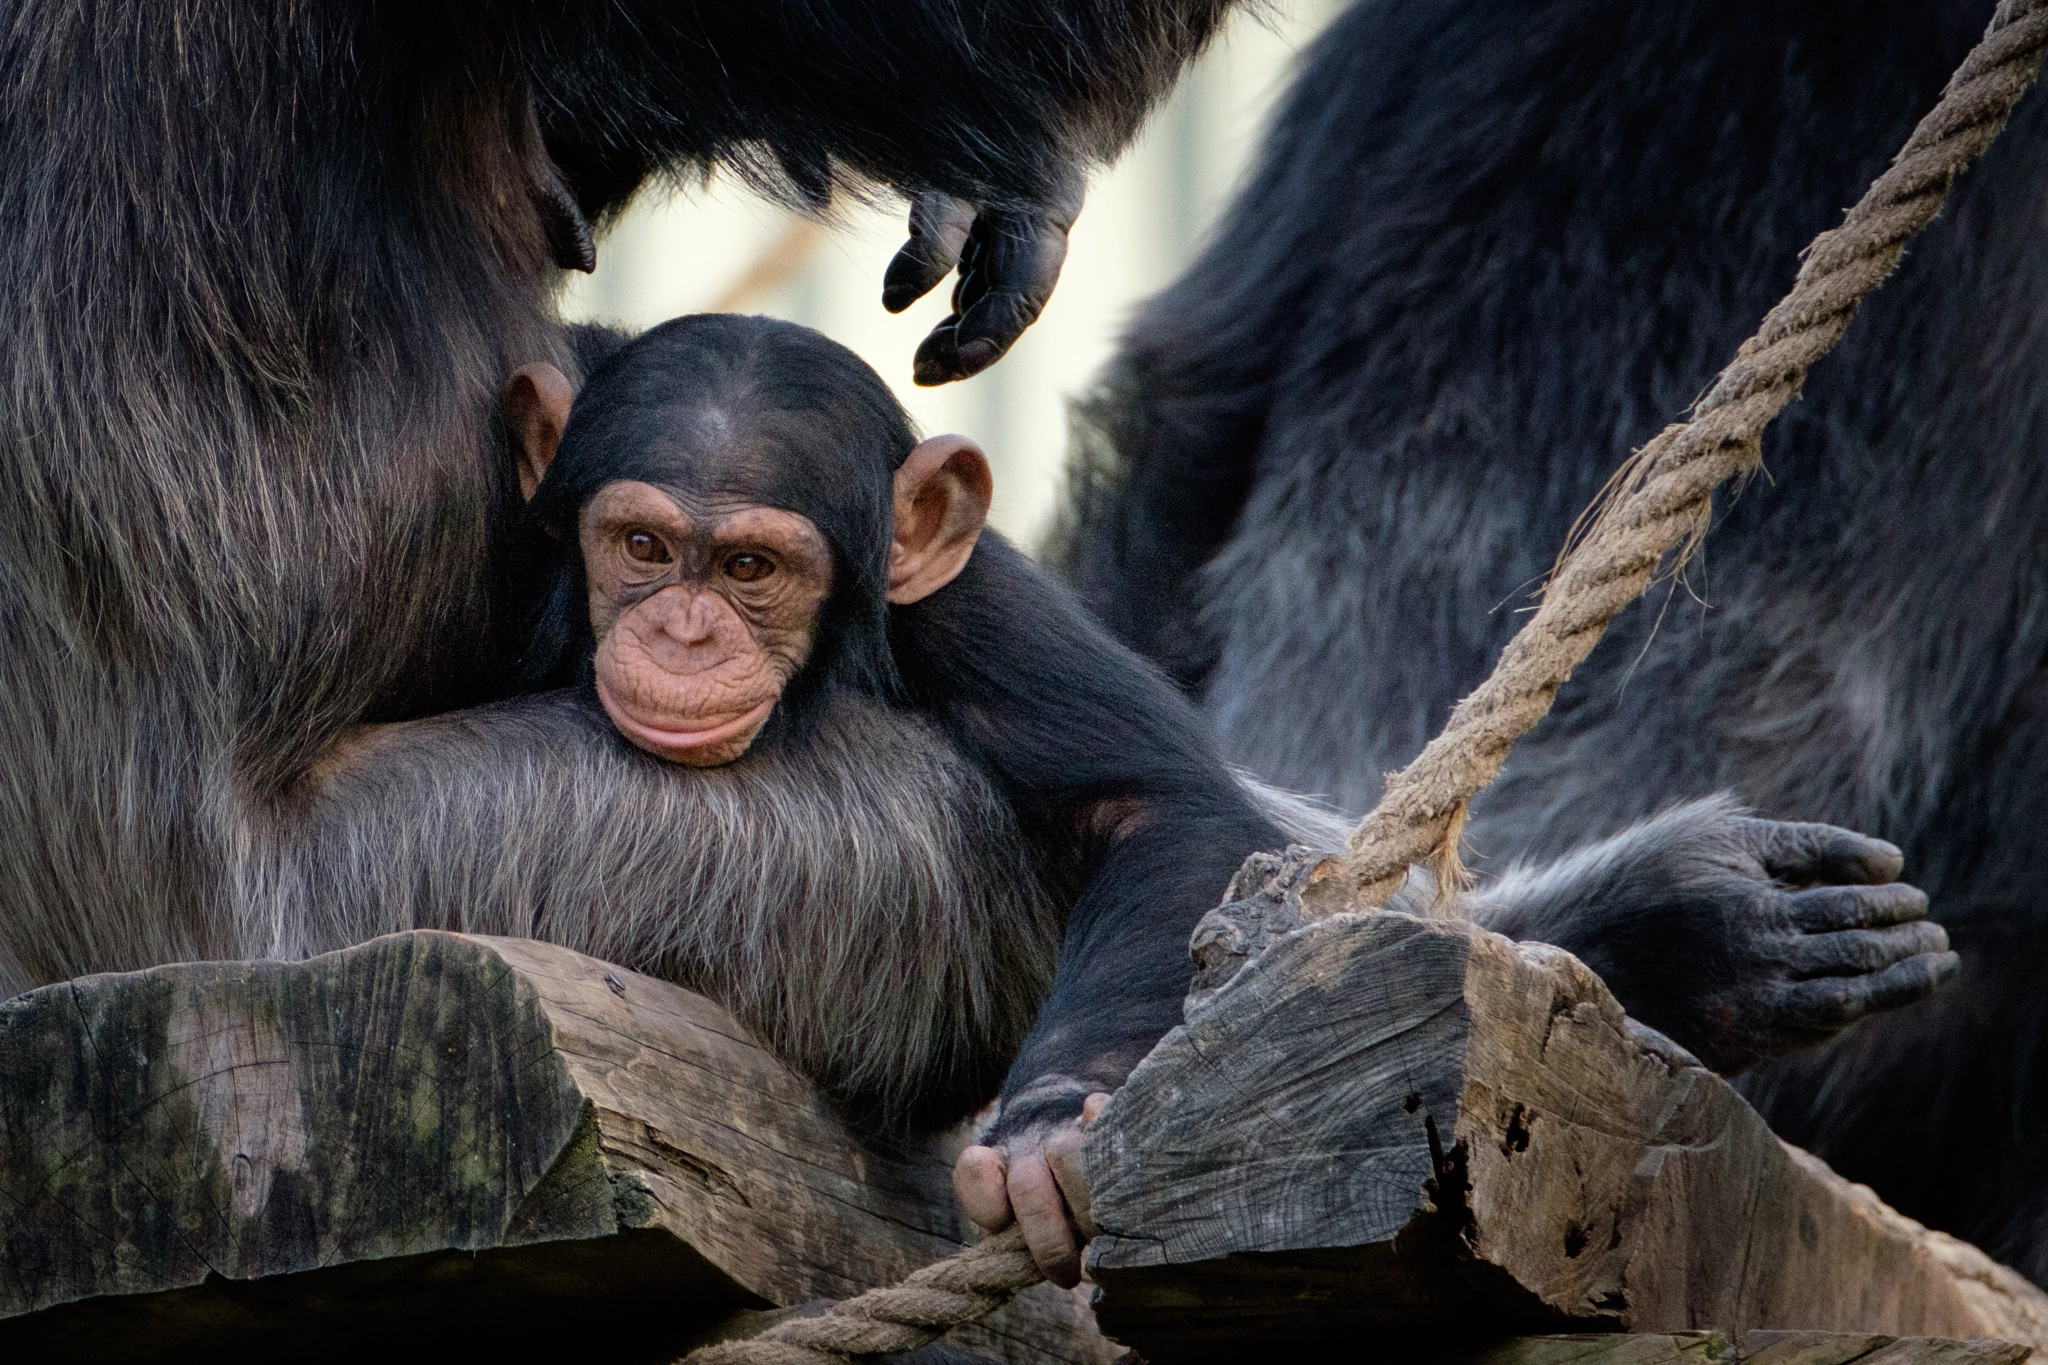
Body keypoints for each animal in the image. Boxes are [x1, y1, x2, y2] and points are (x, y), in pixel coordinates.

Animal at [292, 315, 1949, 1285]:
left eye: (749, 566)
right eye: (641, 546)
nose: (684, 631)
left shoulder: (979, 602)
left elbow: (1162, 807)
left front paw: (1046, 1129)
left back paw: (1694, 930)